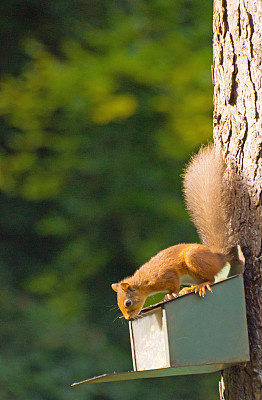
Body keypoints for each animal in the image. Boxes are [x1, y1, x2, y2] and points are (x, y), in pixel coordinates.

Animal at [111, 145, 243, 320]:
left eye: (128, 303)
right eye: (119, 305)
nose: (128, 318)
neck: (145, 281)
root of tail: (219, 257)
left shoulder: (166, 275)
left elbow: (173, 285)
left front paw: (169, 295)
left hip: (194, 258)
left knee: (212, 279)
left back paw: (201, 285)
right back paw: (189, 288)